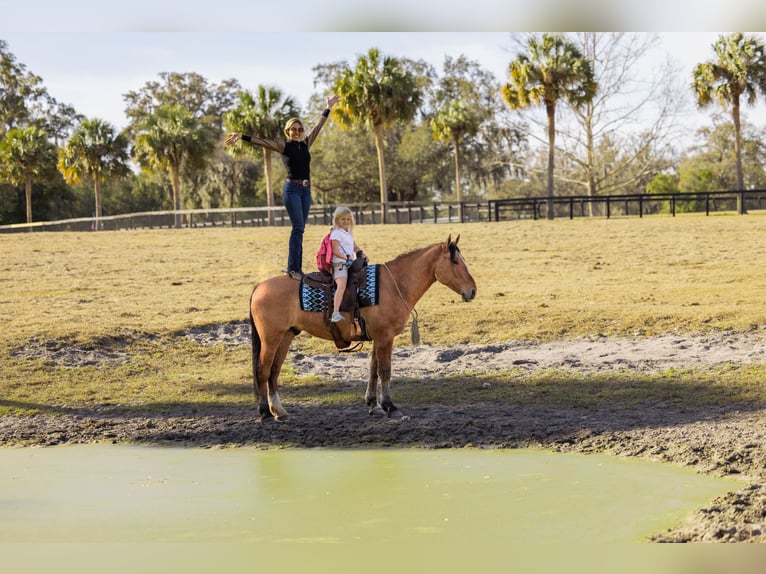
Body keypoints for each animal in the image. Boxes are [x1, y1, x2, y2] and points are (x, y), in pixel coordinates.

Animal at [248, 235, 477, 421]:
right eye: (455, 261)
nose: (472, 291)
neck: (395, 284)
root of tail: (259, 287)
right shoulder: (385, 337)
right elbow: (385, 370)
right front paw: (390, 407)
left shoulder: (378, 337)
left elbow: (373, 369)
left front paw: (373, 403)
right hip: (271, 339)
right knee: (263, 370)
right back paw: (265, 412)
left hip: (285, 336)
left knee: (274, 371)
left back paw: (278, 410)